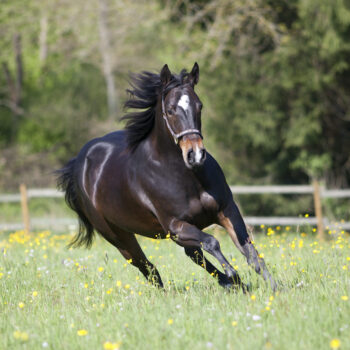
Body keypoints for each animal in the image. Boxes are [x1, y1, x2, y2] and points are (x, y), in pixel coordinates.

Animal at [56, 63, 276, 292]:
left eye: (200, 106)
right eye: (170, 110)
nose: (196, 155)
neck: (186, 177)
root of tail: (79, 162)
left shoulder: (226, 210)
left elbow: (251, 253)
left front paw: (274, 289)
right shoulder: (175, 225)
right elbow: (212, 242)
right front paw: (233, 274)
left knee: (190, 255)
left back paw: (231, 284)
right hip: (118, 236)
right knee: (148, 267)